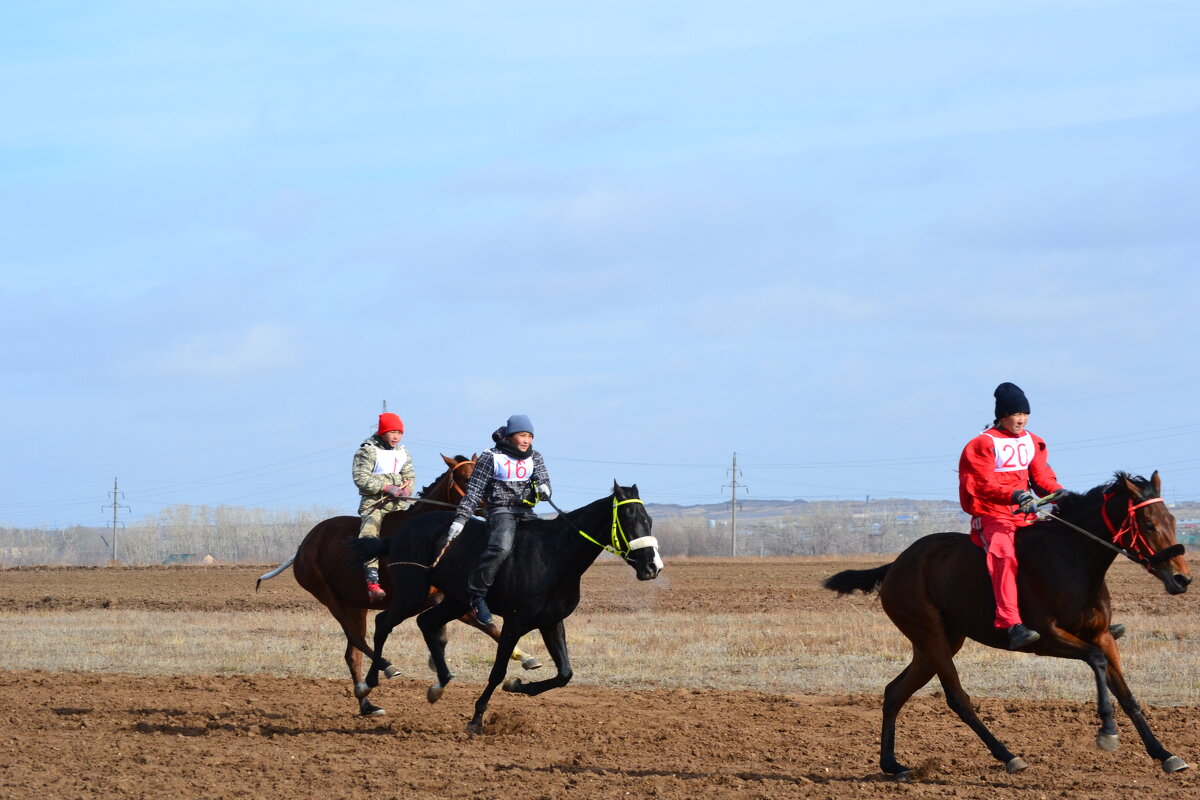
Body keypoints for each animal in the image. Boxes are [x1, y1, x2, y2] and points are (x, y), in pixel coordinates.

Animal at [260, 453, 547, 714]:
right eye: (467, 478)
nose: (495, 506)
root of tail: (303, 545)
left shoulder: (445, 597)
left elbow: (484, 626)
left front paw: (527, 658)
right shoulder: (419, 598)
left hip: (356, 604)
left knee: (352, 653)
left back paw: (367, 705)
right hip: (328, 596)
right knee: (357, 638)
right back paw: (386, 668)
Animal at [348, 479, 667, 734]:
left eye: (649, 520)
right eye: (628, 518)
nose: (653, 567)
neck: (553, 555)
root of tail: (398, 534)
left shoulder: (551, 622)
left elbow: (564, 674)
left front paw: (518, 686)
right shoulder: (515, 622)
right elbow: (498, 671)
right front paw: (477, 717)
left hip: (454, 600)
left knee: (426, 622)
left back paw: (439, 685)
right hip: (412, 593)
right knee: (383, 623)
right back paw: (369, 683)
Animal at [825, 472, 1190, 777]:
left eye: (1173, 520)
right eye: (1148, 524)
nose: (1182, 578)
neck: (1071, 560)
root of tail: (896, 564)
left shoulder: (1101, 635)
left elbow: (1127, 694)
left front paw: (1165, 754)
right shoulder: (1048, 639)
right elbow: (1097, 662)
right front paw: (1108, 732)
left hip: (937, 643)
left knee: (894, 692)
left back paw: (892, 764)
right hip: (931, 636)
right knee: (958, 699)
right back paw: (1008, 755)